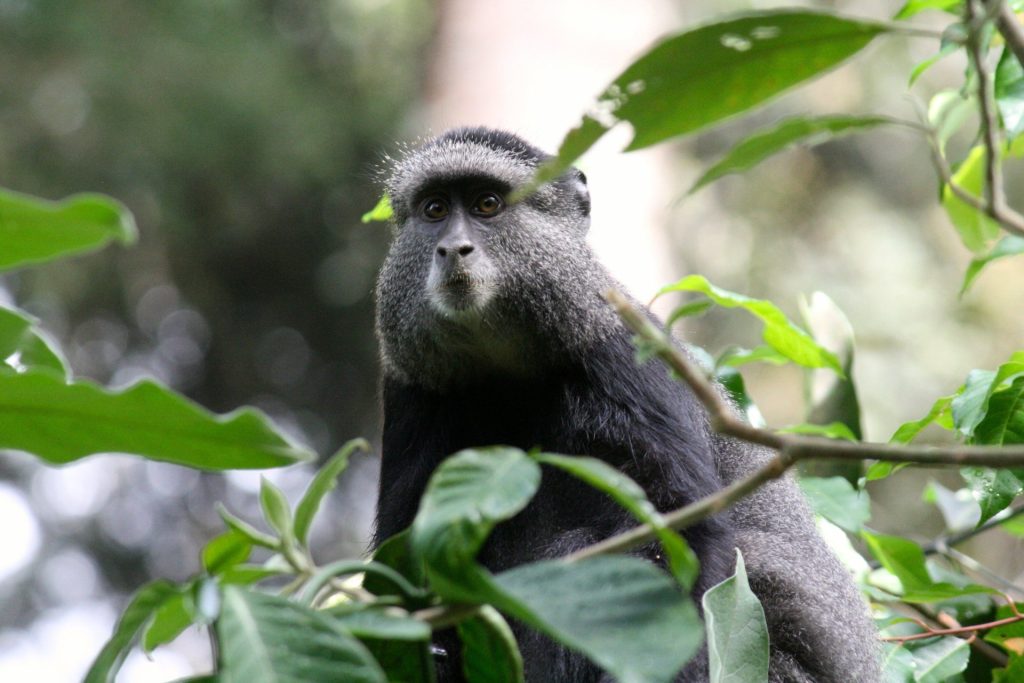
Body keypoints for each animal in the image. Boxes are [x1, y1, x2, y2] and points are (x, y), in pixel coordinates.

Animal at [373, 127, 880, 682]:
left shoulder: (625, 354)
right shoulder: (411, 391)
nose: (451, 248)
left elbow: (679, 534)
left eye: (487, 204)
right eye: (435, 209)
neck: (507, 367)